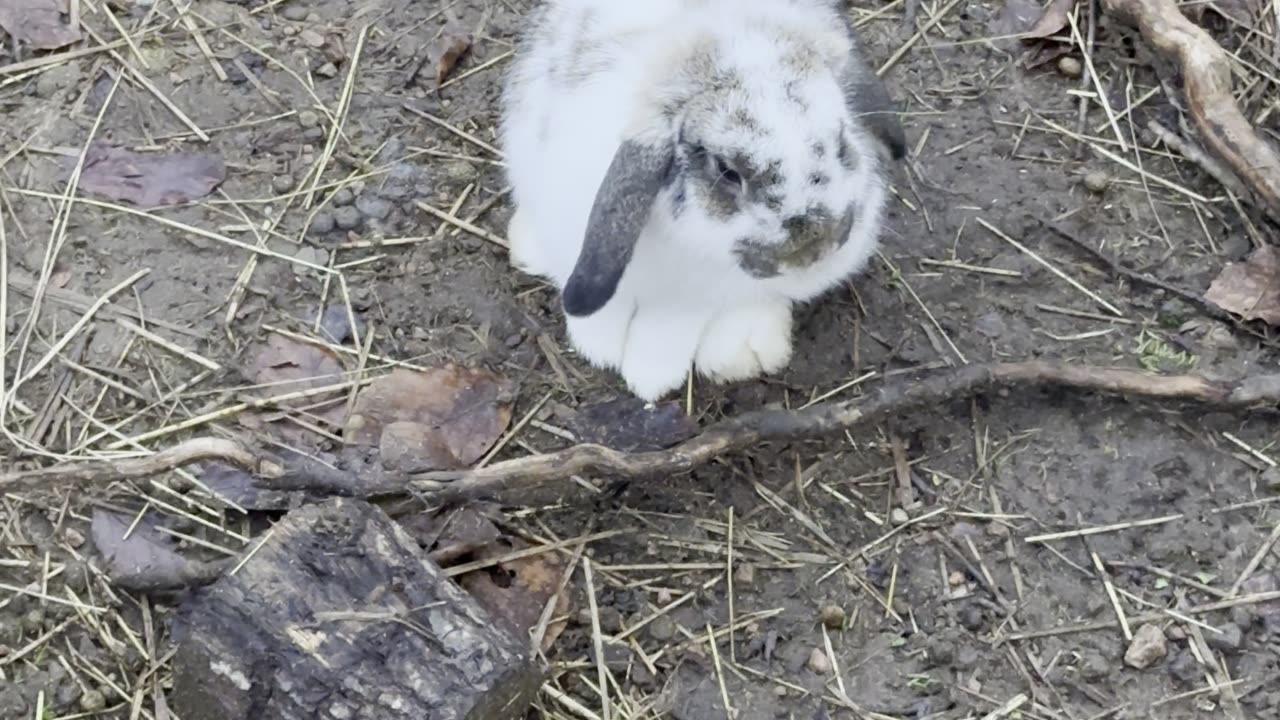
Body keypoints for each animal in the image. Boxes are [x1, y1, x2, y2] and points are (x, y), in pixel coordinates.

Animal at [499, 0, 906, 401]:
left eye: (841, 141)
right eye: (727, 170)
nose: (814, 248)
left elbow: (674, 324)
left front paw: (651, 374)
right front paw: (600, 345)